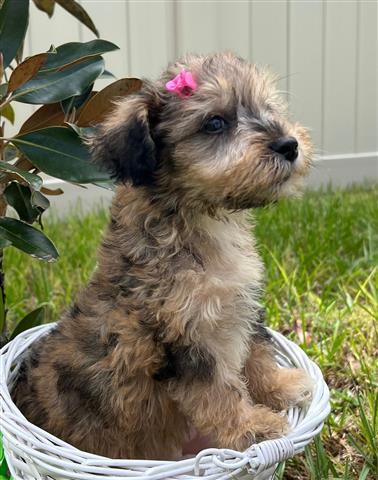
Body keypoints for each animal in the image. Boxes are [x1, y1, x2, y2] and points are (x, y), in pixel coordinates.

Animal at [12, 51, 314, 458]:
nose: (289, 145)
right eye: (215, 123)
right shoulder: (185, 337)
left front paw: (279, 386)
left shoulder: (240, 307)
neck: (197, 217)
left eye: (266, 108)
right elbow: (218, 391)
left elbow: (255, 349)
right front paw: (251, 429)